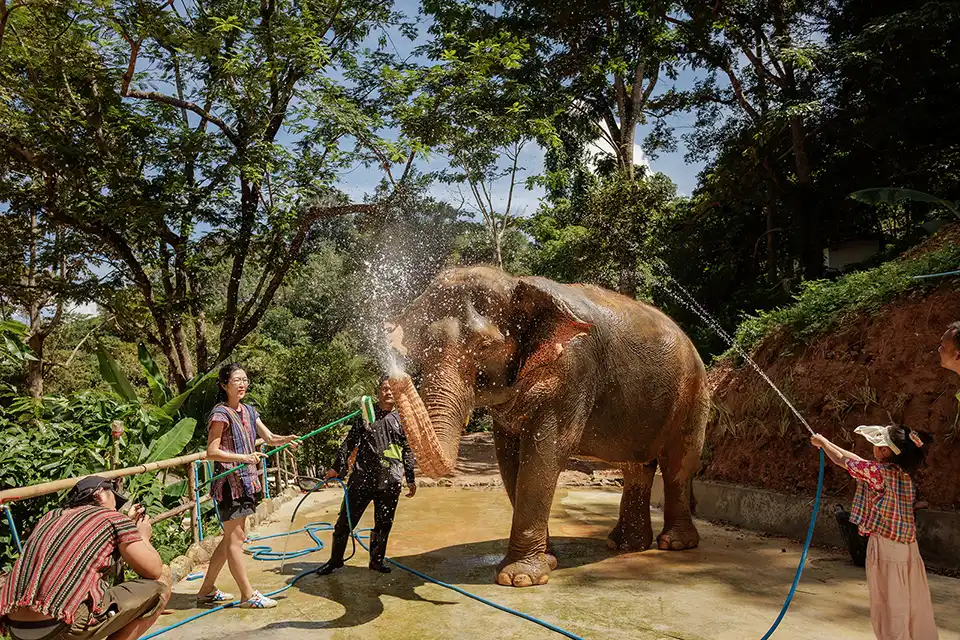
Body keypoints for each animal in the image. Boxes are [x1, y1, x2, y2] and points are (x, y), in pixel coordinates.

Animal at [384, 266, 709, 588]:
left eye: (485, 346)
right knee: (636, 467)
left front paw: (518, 579)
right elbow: (510, 462)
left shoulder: (572, 373)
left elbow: (543, 456)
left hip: (692, 393)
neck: (517, 282)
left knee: (678, 463)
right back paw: (624, 545)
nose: (393, 380)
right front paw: (547, 562)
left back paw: (674, 544)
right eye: (419, 348)